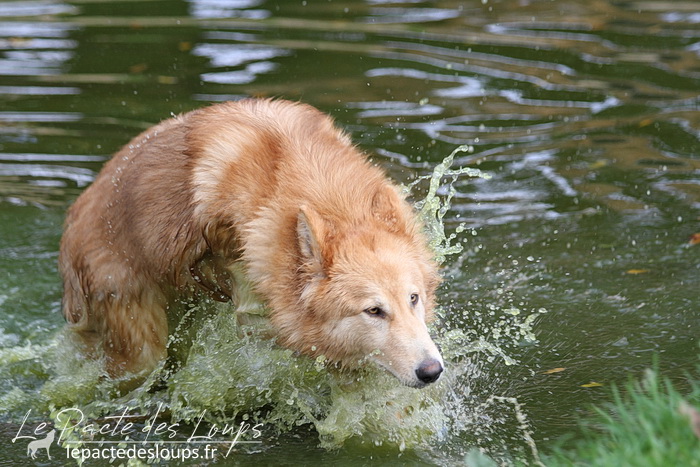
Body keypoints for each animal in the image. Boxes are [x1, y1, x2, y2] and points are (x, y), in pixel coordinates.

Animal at [59, 99, 444, 388]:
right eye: (374, 311)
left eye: (413, 299)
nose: (432, 371)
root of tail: (74, 218)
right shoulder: (251, 297)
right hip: (139, 344)